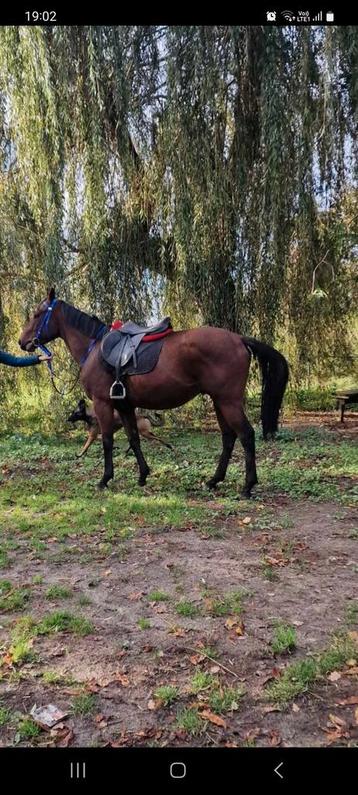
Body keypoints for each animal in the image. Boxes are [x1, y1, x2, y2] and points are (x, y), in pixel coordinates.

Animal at [18, 286, 288, 498]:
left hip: (228, 401)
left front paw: (105, 479)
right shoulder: (125, 405)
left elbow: (107, 440)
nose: (22, 342)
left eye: (37, 314)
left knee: (246, 435)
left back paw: (247, 486)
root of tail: (239, 339)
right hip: (219, 401)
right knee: (229, 437)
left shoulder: (104, 403)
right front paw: (143, 475)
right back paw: (213, 481)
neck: (94, 349)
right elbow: (134, 438)